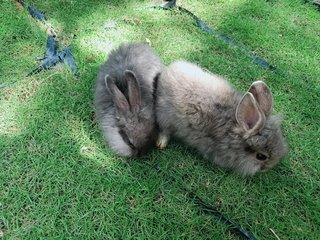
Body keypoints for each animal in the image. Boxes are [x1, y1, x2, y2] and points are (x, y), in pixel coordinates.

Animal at [155, 60, 288, 176]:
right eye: (261, 156)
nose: (269, 167)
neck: (232, 129)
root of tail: (166, 74)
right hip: (165, 116)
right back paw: (162, 143)